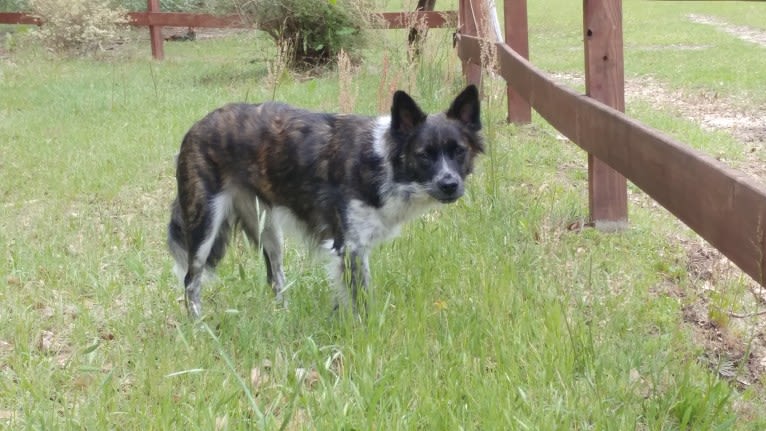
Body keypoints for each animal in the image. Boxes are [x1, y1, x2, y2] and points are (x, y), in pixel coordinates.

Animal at [168, 85, 484, 320]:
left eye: (459, 151)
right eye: (424, 155)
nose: (450, 185)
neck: (383, 164)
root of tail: (196, 127)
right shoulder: (351, 247)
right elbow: (361, 299)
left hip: (268, 230)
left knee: (275, 276)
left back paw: (284, 316)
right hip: (204, 225)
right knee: (191, 281)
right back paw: (198, 328)